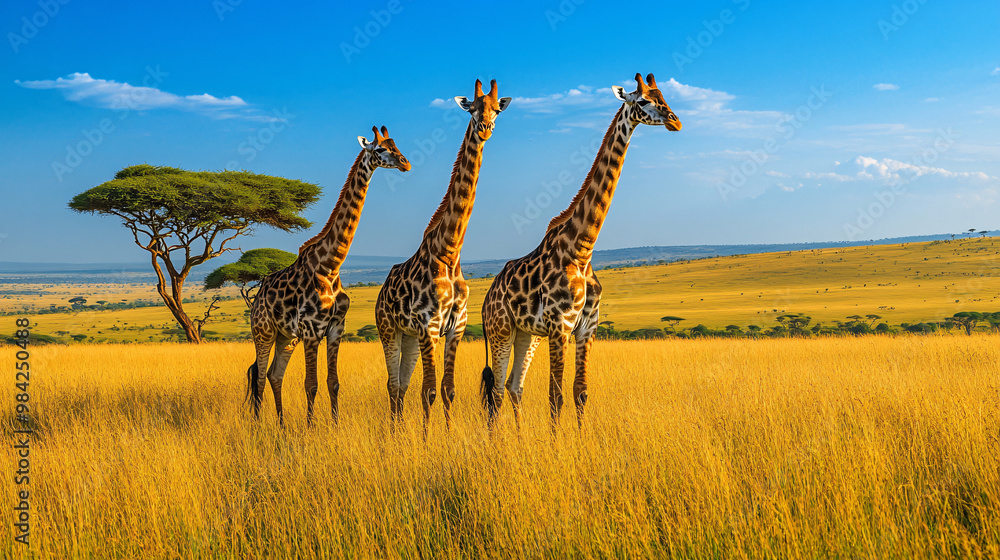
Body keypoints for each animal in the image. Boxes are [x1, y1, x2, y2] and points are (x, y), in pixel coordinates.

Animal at [247, 126, 410, 424]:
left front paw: (334, 425)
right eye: (381, 149)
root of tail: (257, 299)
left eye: (397, 146)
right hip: (263, 331)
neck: (330, 266)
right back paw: (257, 425)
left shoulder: (336, 328)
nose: (406, 163)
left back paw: (281, 424)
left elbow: (332, 382)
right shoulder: (312, 329)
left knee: (274, 375)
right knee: (259, 377)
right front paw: (311, 427)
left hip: (286, 337)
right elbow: (310, 383)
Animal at [375, 79, 510, 433]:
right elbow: (429, 391)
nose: (485, 128)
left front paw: (447, 436)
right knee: (392, 384)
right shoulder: (429, 326)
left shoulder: (456, 326)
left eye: (496, 109)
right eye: (472, 108)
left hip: (408, 337)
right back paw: (393, 433)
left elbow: (447, 389)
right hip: (388, 330)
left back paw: (399, 430)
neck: (449, 252)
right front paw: (426, 439)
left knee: (401, 385)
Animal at [480, 73, 681, 427]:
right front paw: (557, 442)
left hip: (526, 335)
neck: (581, 250)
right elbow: (556, 396)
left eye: (665, 97)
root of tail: (485, 300)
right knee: (496, 393)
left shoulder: (587, 327)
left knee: (513, 386)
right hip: (500, 331)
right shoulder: (560, 327)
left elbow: (580, 392)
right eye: (643, 100)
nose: (676, 121)